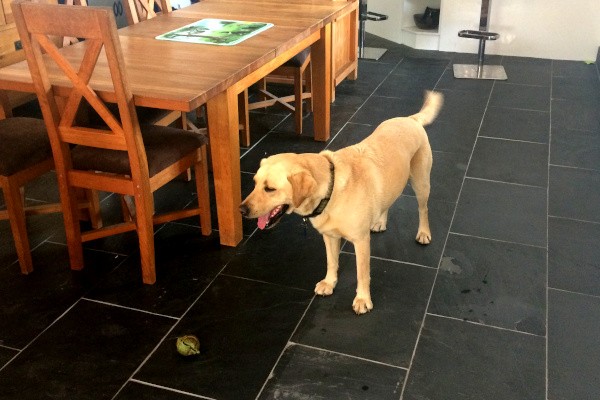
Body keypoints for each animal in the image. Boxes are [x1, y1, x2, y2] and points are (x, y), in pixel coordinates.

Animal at [241, 91, 442, 316]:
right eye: (255, 183)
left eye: (270, 188)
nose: (241, 209)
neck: (331, 189)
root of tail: (410, 119)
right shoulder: (329, 236)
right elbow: (331, 262)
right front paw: (329, 283)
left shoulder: (361, 241)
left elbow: (362, 273)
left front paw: (363, 299)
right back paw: (380, 222)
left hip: (421, 183)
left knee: (423, 209)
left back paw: (423, 233)